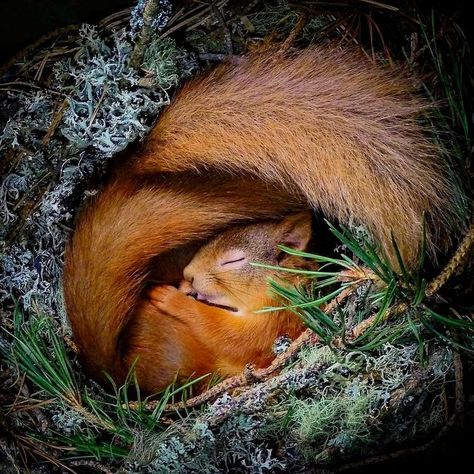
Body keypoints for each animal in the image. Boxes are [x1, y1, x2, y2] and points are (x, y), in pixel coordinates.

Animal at [63, 45, 460, 392]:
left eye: (234, 260)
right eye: (211, 240)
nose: (188, 276)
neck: (281, 288)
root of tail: (115, 374)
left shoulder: (276, 323)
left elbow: (229, 336)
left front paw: (173, 298)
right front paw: (181, 289)